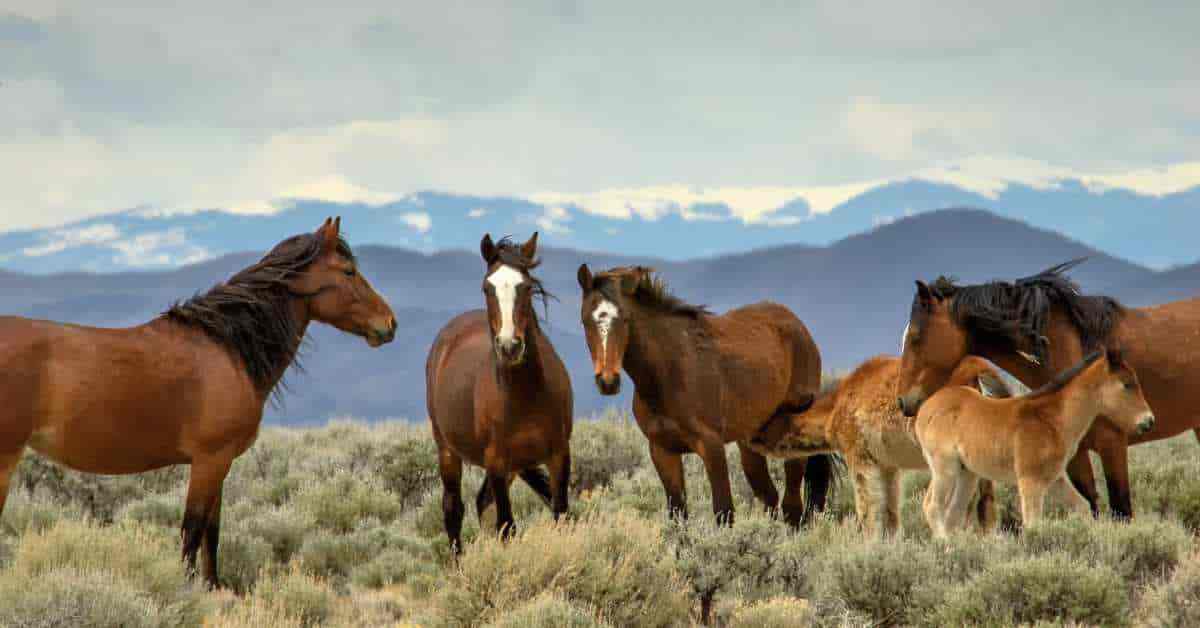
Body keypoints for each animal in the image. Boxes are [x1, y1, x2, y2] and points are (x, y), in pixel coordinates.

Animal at [0, 217, 398, 590]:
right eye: (348, 271)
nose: (389, 324)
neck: (228, 349)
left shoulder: (219, 464)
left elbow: (211, 532)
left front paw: (212, 586)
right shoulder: (210, 460)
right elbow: (192, 530)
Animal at [424, 231, 573, 549]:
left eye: (526, 287)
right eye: (487, 287)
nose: (509, 346)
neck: (526, 394)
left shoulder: (559, 455)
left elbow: (561, 516)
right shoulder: (496, 461)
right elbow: (507, 525)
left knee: (482, 503)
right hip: (448, 451)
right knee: (453, 511)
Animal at [744, 355, 1017, 537]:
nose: (749, 436)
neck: (836, 406)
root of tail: (981, 372)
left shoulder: (861, 460)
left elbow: (868, 512)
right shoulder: (888, 466)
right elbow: (890, 514)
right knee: (986, 504)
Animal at [912, 348, 1156, 535]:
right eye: (1127, 384)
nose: (1148, 421)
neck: (1052, 419)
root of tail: (925, 409)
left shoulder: (1055, 478)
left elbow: (1083, 507)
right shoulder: (1030, 482)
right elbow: (1033, 526)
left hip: (967, 474)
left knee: (952, 514)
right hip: (945, 469)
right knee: (932, 506)